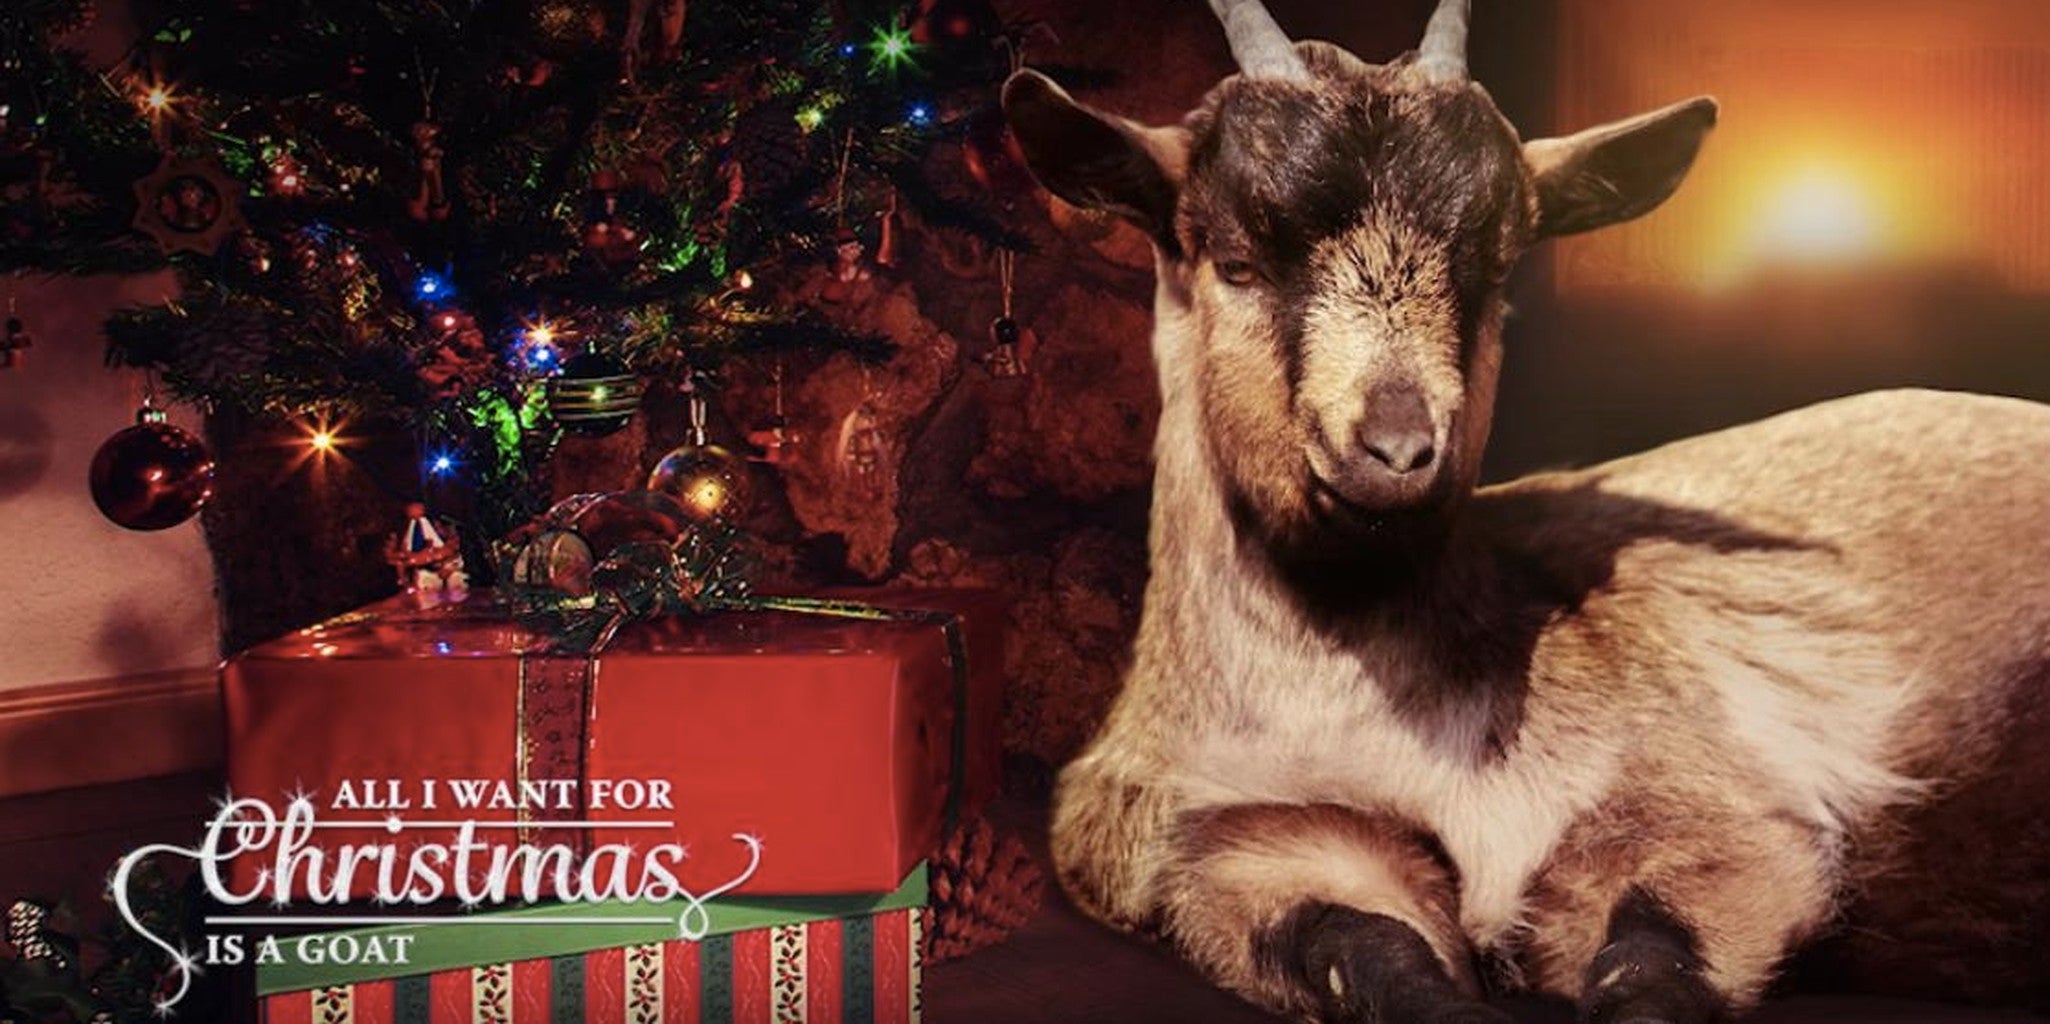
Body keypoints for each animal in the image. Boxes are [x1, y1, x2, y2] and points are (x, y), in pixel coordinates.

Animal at [1001, 2, 2050, 1021]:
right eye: (1236, 262)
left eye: (1496, 268)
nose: (1397, 449)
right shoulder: (1228, 851)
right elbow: (1373, 956)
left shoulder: (1724, 817)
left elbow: (1653, 967)